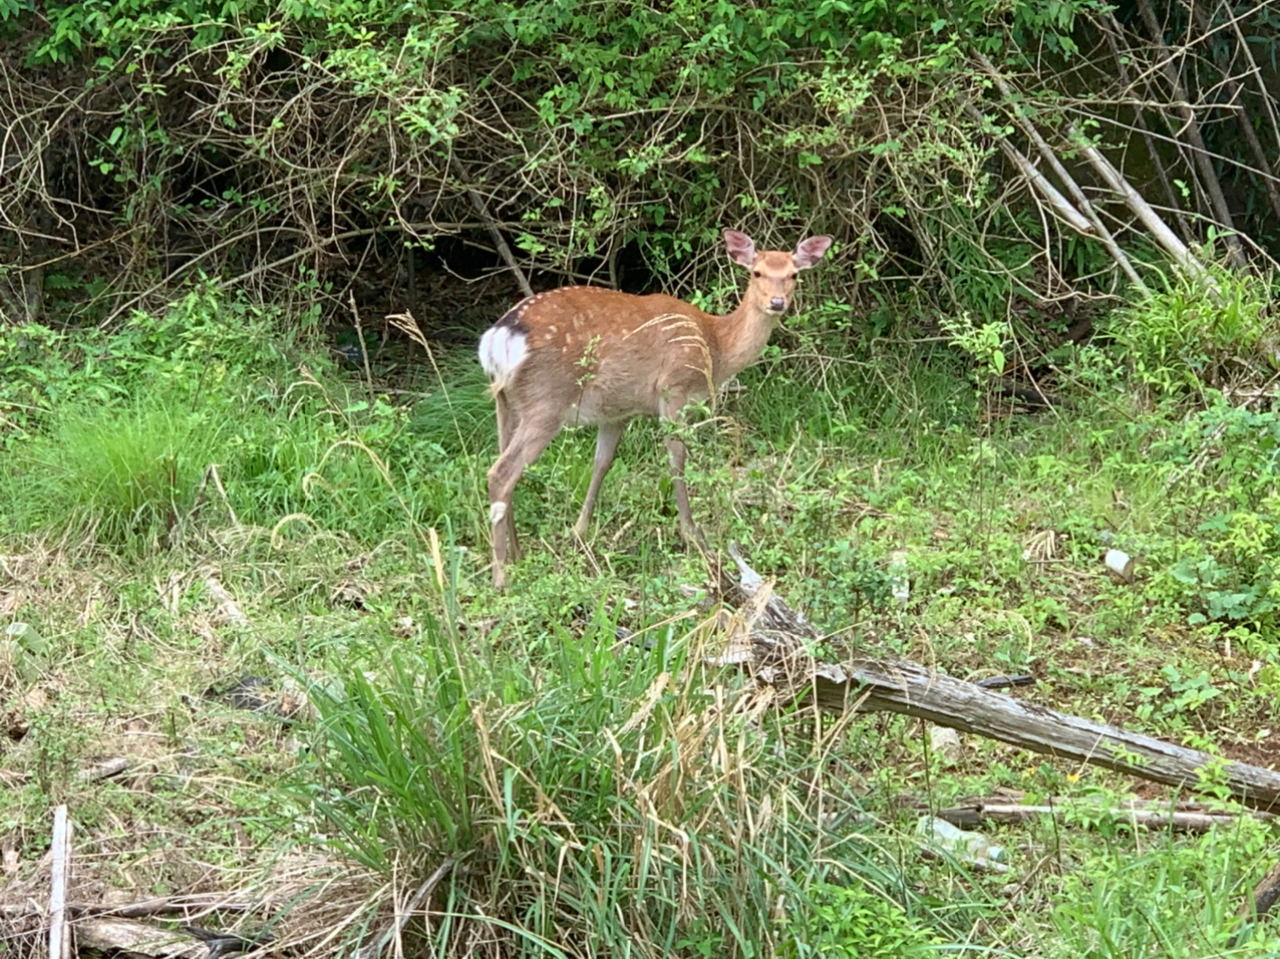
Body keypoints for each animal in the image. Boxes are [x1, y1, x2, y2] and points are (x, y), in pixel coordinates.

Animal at [478, 227, 829, 586]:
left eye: (793, 274)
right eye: (757, 272)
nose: (777, 302)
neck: (714, 346)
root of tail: (498, 338)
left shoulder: (617, 411)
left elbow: (601, 463)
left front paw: (579, 532)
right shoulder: (674, 387)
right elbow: (677, 459)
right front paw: (692, 535)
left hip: (507, 401)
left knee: (503, 463)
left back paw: (516, 554)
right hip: (547, 399)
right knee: (501, 472)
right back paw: (501, 576)